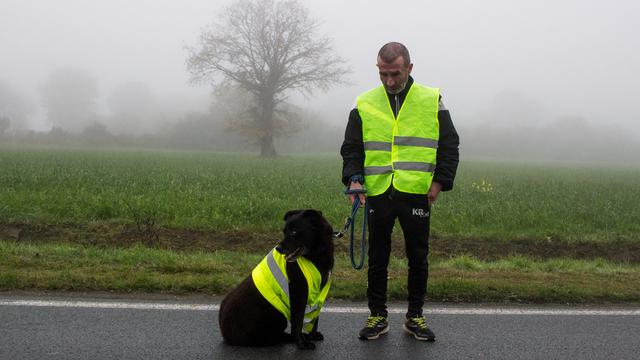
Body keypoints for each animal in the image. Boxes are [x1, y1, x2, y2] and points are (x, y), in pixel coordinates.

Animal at [219, 208, 332, 348]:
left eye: (294, 231)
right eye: (284, 232)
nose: (278, 248)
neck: (316, 255)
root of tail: (225, 333)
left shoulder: (319, 293)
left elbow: (315, 317)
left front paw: (312, 335)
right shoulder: (298, 294)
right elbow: (298, 322)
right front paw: (302, 343)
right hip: (277, 315)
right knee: (270, 338)